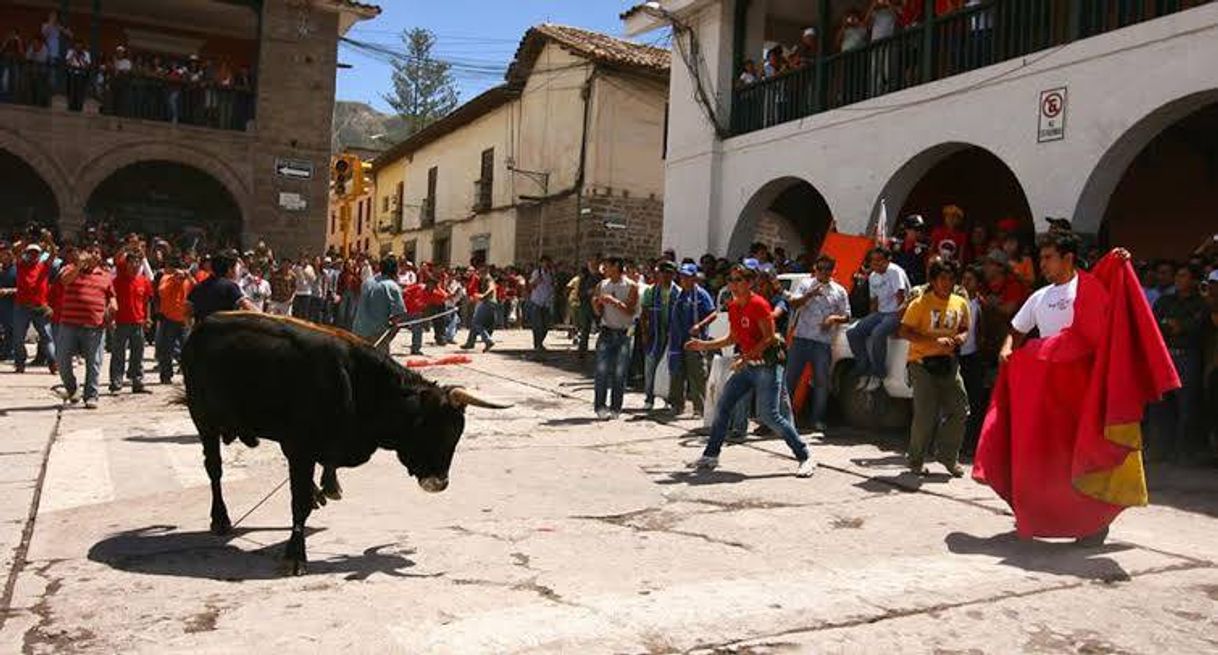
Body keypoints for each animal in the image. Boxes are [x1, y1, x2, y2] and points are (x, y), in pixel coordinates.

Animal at [177, 310, 506, 569]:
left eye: (456, 435)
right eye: (433, 430)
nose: (439, 483)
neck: (358, 385)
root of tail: (202, 326)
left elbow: (319, 477)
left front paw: (326, 487)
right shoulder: (299, 449)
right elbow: (298, 502)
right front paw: (295, 555)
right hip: (204, 423)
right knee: (214, 470)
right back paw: (220, 518)